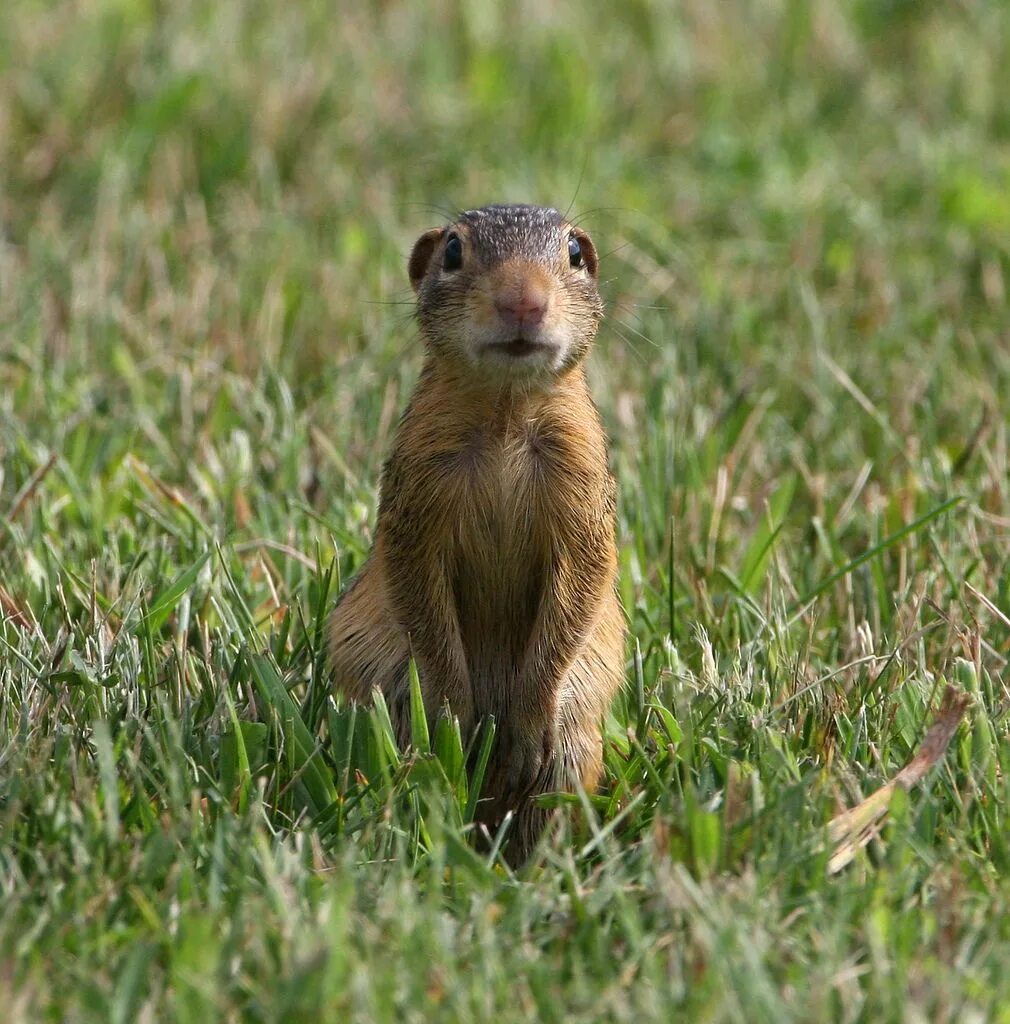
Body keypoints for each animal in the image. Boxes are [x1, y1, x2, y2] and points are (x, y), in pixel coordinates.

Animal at [327, 203, 622, 860]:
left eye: (575, 253)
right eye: (453, 252)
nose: (523, 301)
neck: (505, 415)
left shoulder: (583, 492)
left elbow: (579, 590)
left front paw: (527, 719)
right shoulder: (416, 501)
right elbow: (420, 598)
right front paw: (454, 718)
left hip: (571, 756)